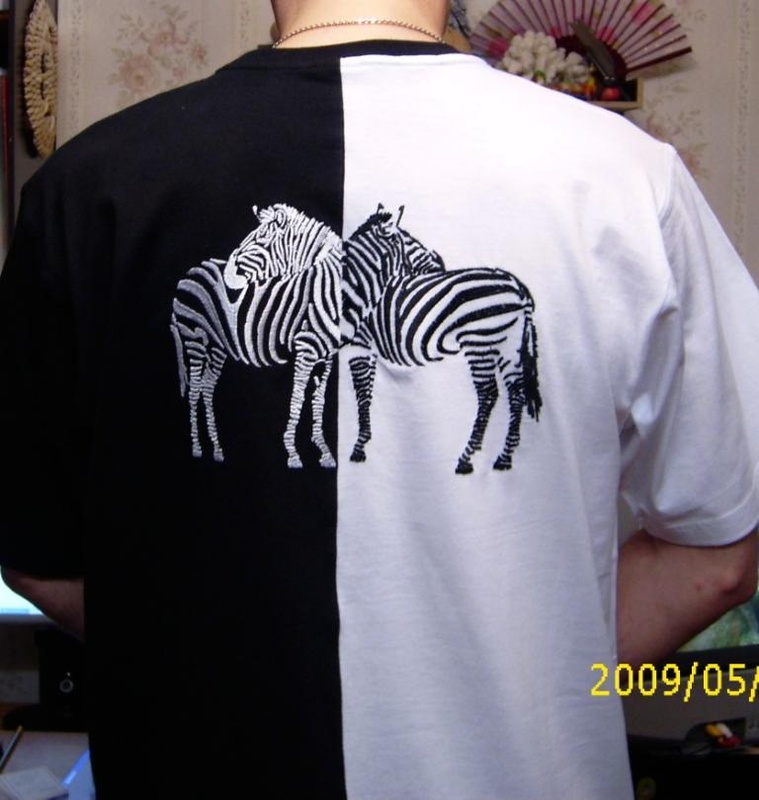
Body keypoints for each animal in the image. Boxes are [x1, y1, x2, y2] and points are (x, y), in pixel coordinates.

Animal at [170, 204, 343, 468]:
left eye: (261, 239)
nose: (228, 276)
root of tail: (188, 274)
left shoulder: (327, 356)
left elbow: (318, 401)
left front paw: (324, 452)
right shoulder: (306, 349)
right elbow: (297, 398)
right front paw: (293, 453)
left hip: (217, 346)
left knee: (207, 388)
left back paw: (217, 449)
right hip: (194, 338)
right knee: (194, 389)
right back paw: (198, 447)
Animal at [343, 206, 542, 474]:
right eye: (409, 242)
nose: (439, 265)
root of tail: (518, 286)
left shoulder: (359, 345)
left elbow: (362, 392)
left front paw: (359, 448)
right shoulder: (367, 347)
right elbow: (368, 390)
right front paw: (364, 440)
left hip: (480, 343)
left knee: (488, 394)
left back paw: (466, 458)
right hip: (508, 345)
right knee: (516, 392)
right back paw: (504, 458)